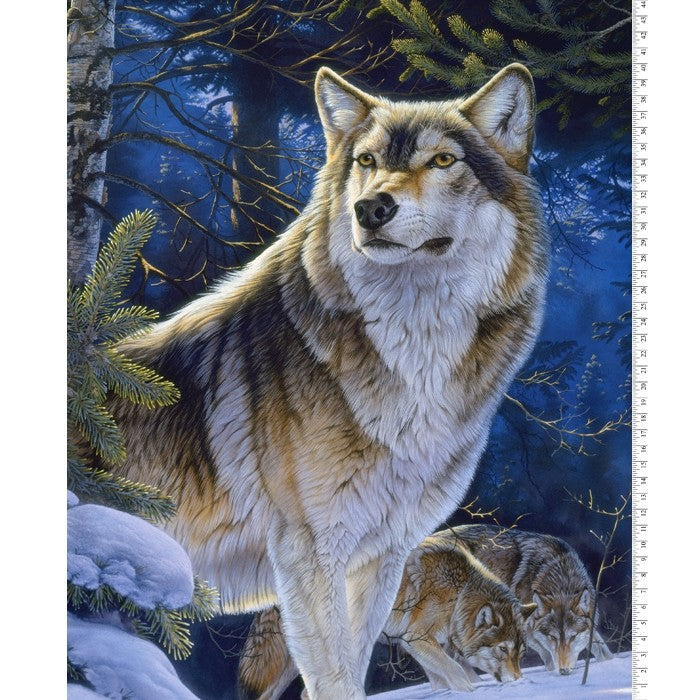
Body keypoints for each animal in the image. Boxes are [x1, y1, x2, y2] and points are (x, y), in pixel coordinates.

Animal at [239, 532, 536, 699]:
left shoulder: (428, 648)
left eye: (521, 653)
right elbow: (458, 674)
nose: (519, 681)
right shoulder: (416, 640)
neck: (458, 593)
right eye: (502, 649)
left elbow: (450, 677)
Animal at [452, 525, 613, 674]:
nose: (564, 671)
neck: (561, 582)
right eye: (552, 637)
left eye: (573, 637)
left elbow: (601, 647)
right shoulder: (526, 630)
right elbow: (547, 654)